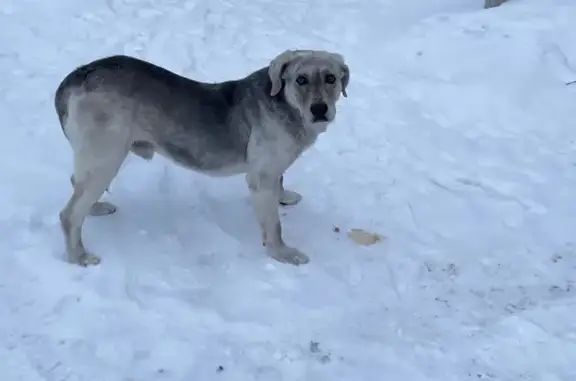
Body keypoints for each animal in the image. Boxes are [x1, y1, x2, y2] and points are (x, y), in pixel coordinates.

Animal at [55, 48, 352, 268]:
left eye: (331, 78)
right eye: (301, 79)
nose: (319, 109)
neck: (287, 105)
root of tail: (77, 77)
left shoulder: (272, 171)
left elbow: (281, 182)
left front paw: (285, 196)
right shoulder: (261, 177)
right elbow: (274, 225)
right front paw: (282, 254)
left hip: (96, 159)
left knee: (75, 184)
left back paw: (94, 208)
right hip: (106, 157)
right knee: (70, 213)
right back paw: (78, 256)